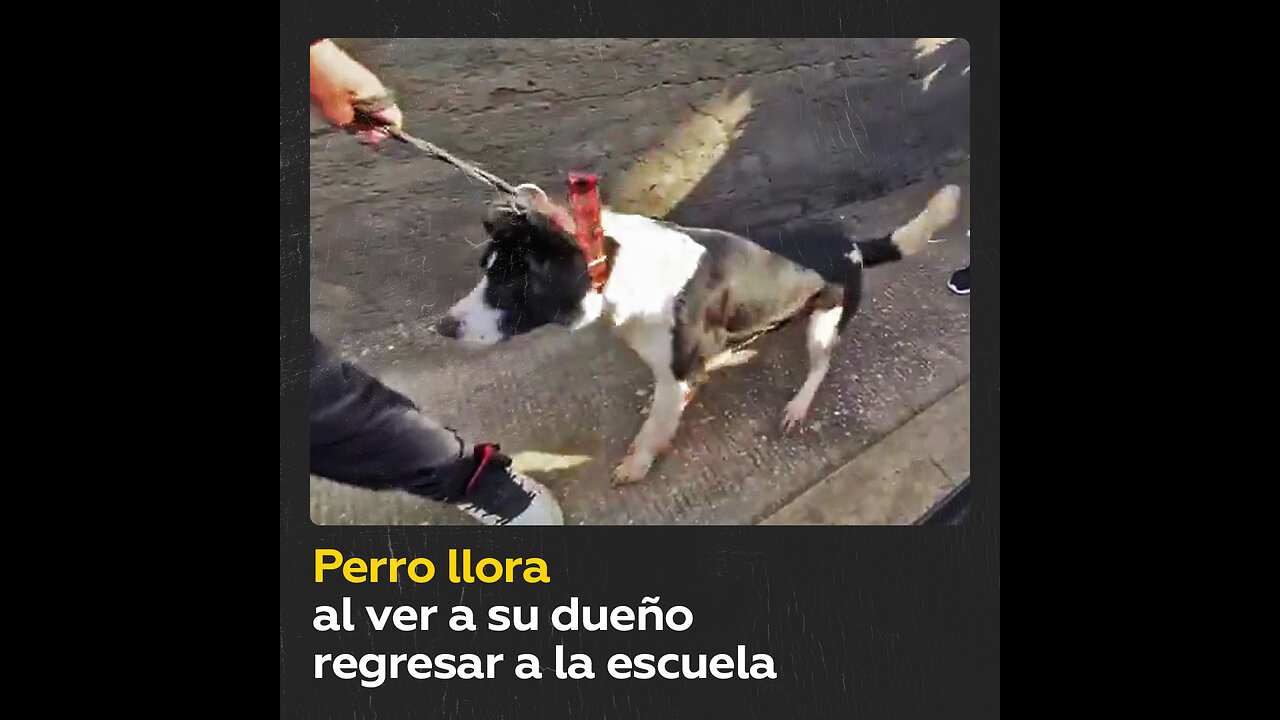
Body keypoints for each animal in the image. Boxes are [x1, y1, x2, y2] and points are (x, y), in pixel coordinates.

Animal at [440, 179, 962, 481]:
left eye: (511, 281)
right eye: (485, 268)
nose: (442, 327)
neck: (617, 267)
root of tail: (853, 243)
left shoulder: (675, 371)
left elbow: (656, 424)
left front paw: (637, 463)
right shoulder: (676, 368)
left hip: (825, 322)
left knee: (821, 365)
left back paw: (797, 406)